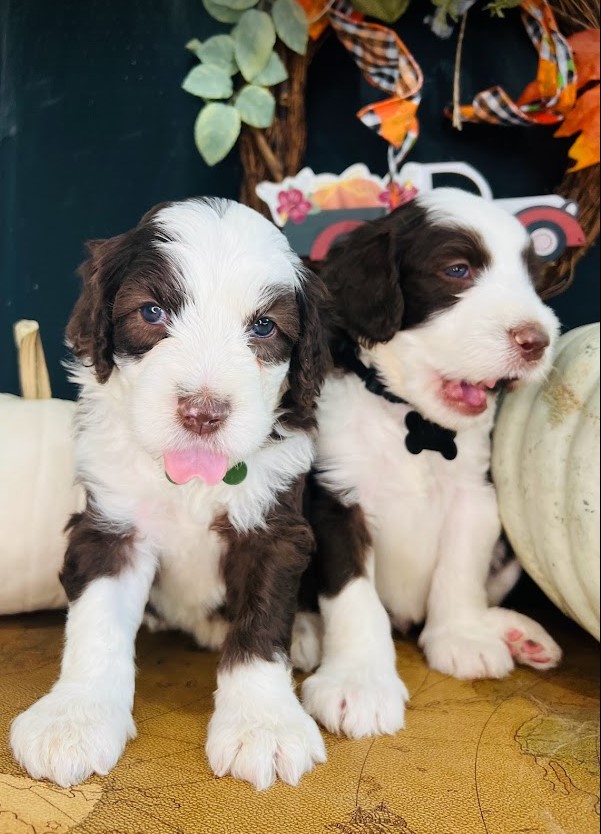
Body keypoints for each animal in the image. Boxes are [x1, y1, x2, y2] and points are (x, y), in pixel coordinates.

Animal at [9, 195, 328, 788]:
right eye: (152, 313)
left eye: (265, 326)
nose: (203, 412)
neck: (191, 481)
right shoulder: (112, 526)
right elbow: (96, 625)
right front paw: (74, 718)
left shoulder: (273, 528)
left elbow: (262, 623)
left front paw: (263, 725)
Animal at [298, 185, 564, 736]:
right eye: (457, 269)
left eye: (532, 280)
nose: (536, 341)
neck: (413, 421)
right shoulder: (338, 498)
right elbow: (354, 597)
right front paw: (358, 682)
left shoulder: (476, 496)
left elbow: (460, 569)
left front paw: (463, 637)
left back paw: (512, 631)